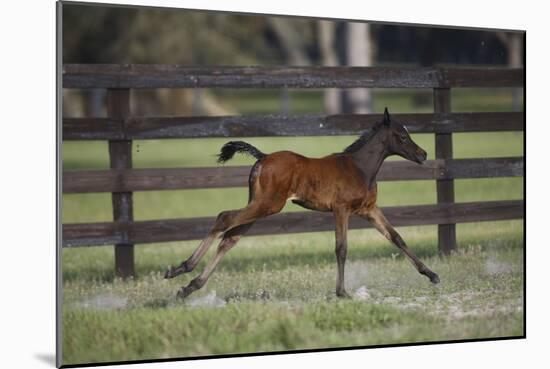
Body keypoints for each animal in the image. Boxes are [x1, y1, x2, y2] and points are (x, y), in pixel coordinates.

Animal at [166, 106, 442, 300]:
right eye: (402, 136)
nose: (423, 154)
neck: (360, 168)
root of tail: (263, 157)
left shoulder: (368, 209)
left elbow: (396, 237)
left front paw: (432, 275)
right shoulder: (341, 210)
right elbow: (341, 248)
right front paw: (342, 292)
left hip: (260, 207)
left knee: (229, 239)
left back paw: (189, 286)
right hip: (267, 205)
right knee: (224, 218)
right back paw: (181, 268)